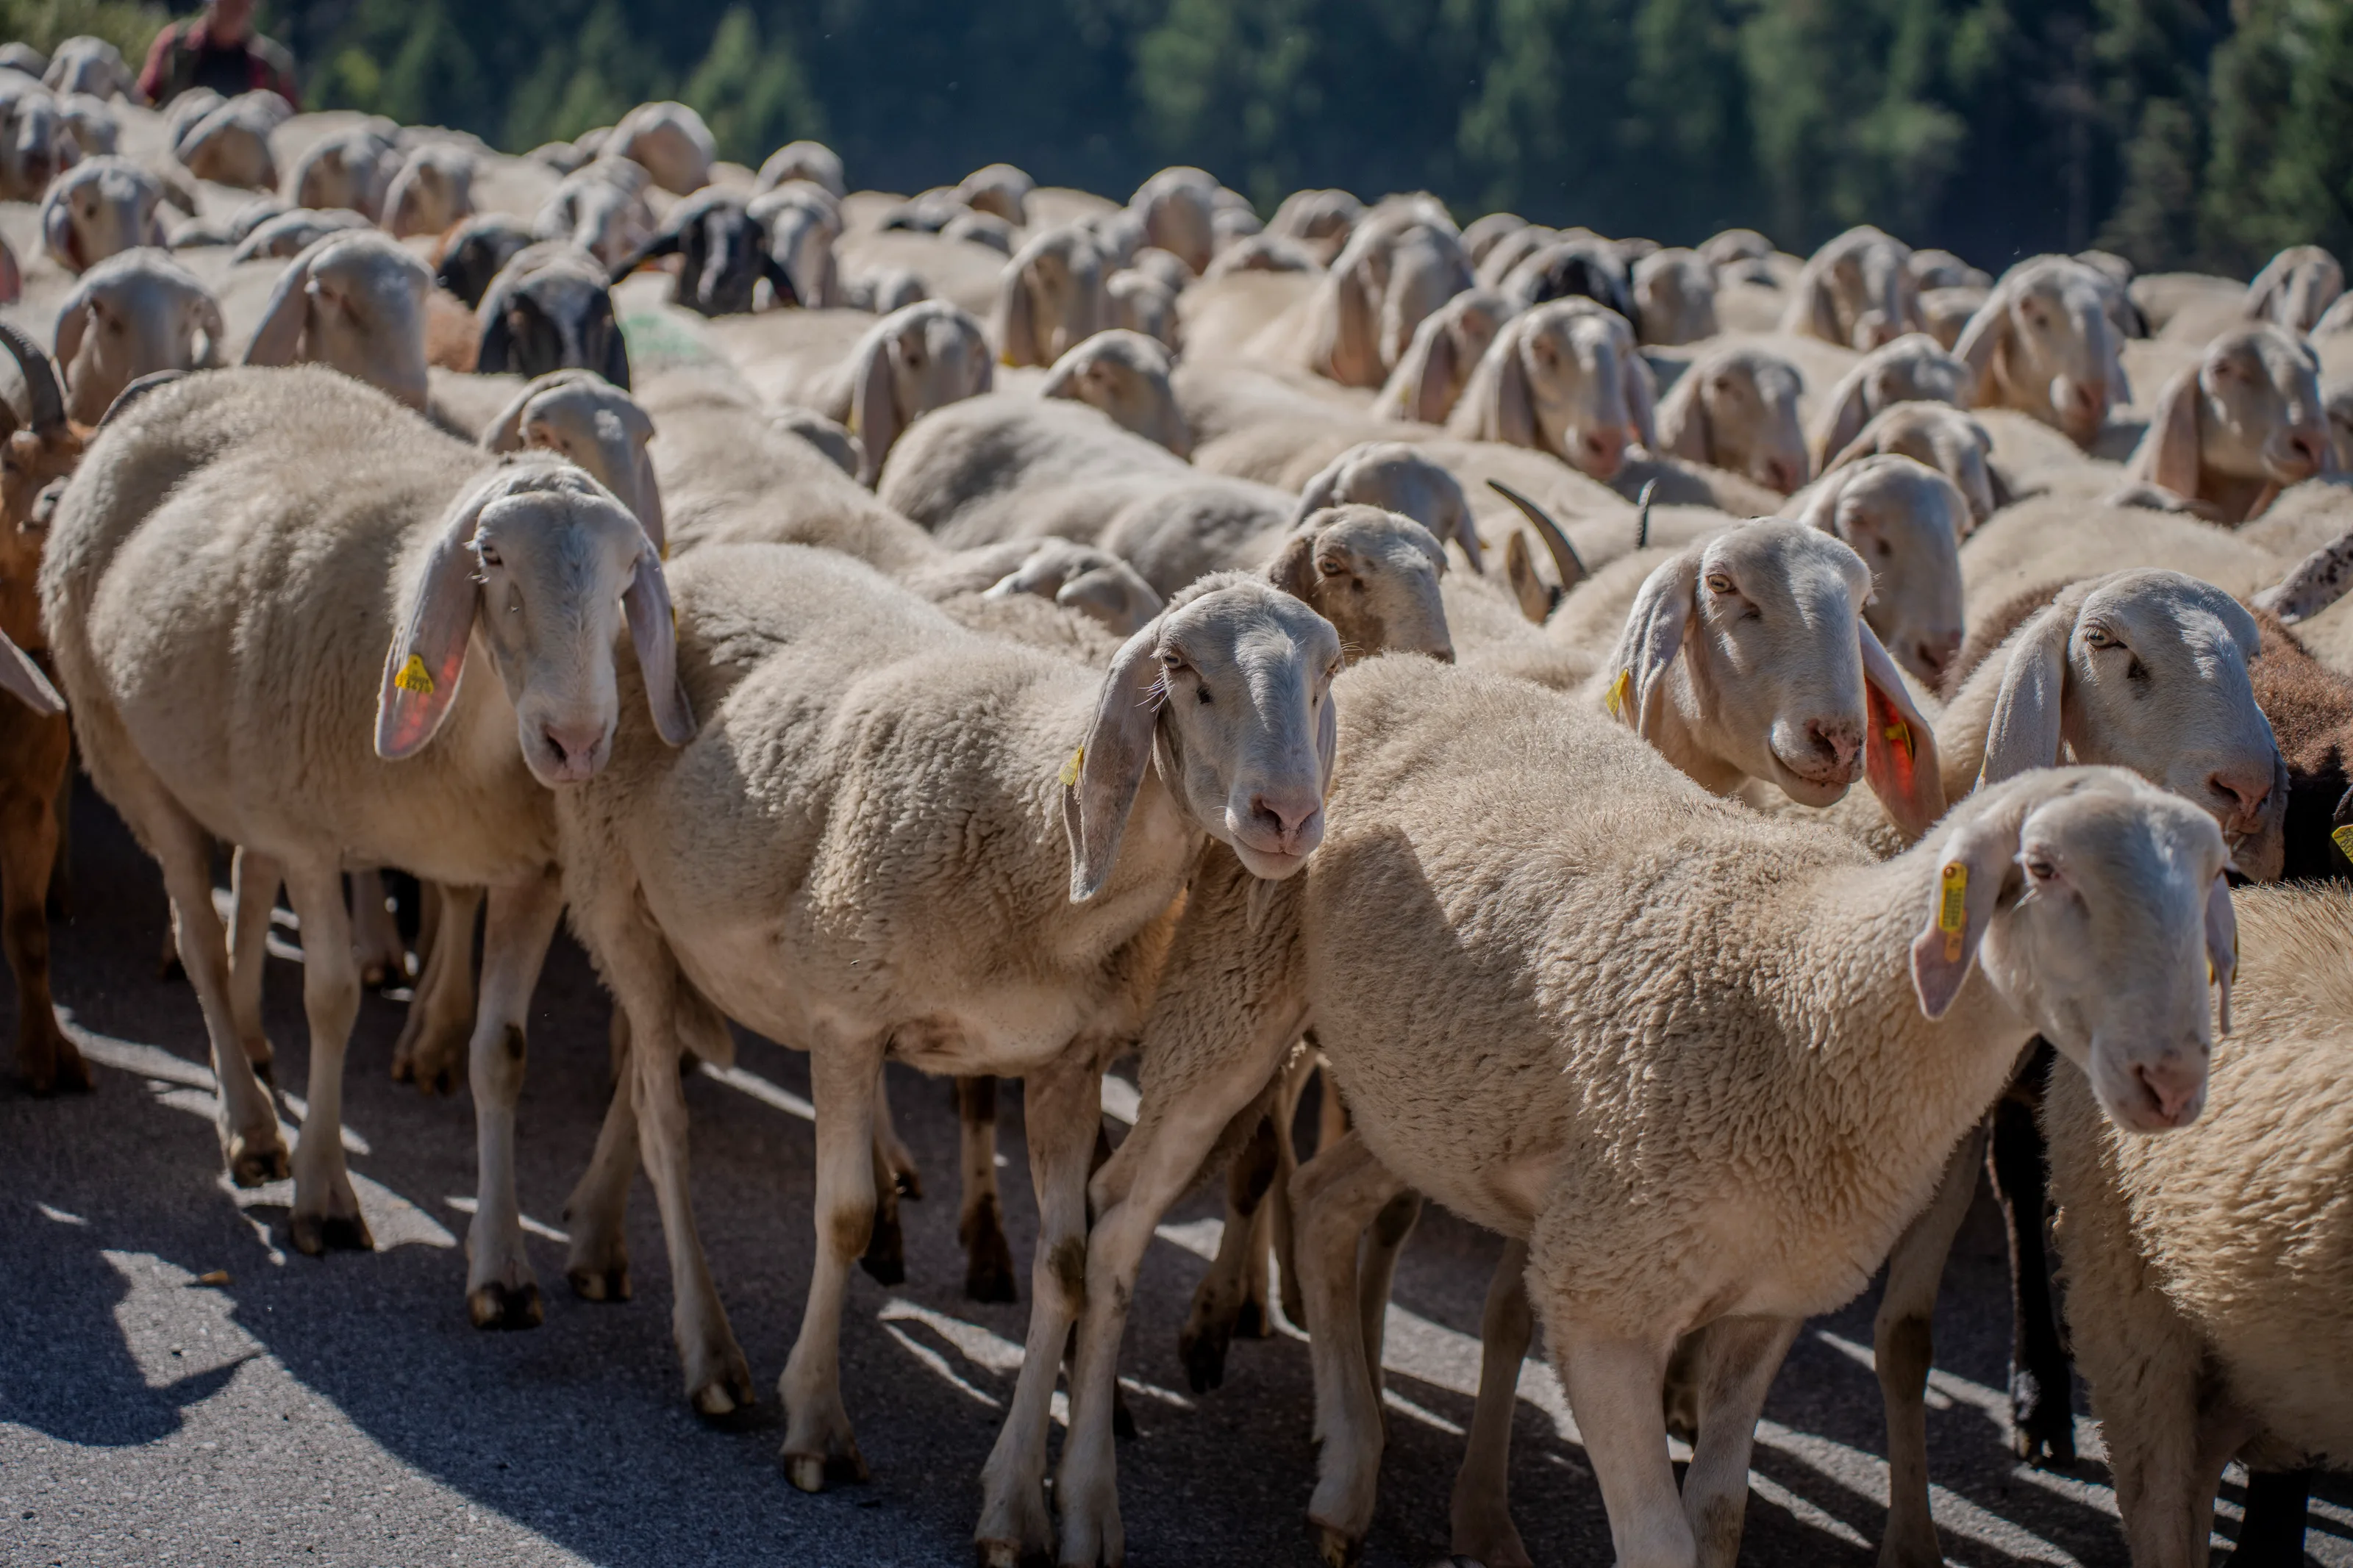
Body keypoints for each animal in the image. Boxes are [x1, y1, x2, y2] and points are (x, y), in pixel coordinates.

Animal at [38, 367, 687, 1299]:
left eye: (629, 568)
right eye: (491, 558)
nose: (575, 742)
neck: (469, 734)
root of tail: (193, 383)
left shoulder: (531, 874)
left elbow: (503, 1052)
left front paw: (500, 1268)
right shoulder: (313, 843)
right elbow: (332, 1000)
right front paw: (325, 1198)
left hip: (241, 776)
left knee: (246, 887)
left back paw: (252, 1043)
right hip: (126, 754)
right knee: (196, 937)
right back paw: (251, 1123)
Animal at [542, 541, 1340, 1465]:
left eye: (1327, 673)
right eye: (1178, 668)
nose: (1286, 815)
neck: (1034, 826)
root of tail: (705, 557)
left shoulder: (1068, 1063)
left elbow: (1066, 1263)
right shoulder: (845, 1016)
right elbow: (843, 1217)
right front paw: (817, 1423)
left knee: (644, 1073)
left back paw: (597, 1242)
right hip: (608, 887)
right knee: (666, 1125)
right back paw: (709, 1352)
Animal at [1040, 657, 2233, 1568]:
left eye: (2213, 878)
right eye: (2040, 870)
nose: (2173, 1081)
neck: (1814, 993)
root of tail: (1380, 669)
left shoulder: (1765, 1303)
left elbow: (1719, 1515)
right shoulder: (1602, 1293)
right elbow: (1657, 1541)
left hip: (1432, 1098)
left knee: (1329, 1206)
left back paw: (1346, 1473)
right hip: (1237, 992)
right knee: (1117, 1214)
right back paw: (1089, 1498)